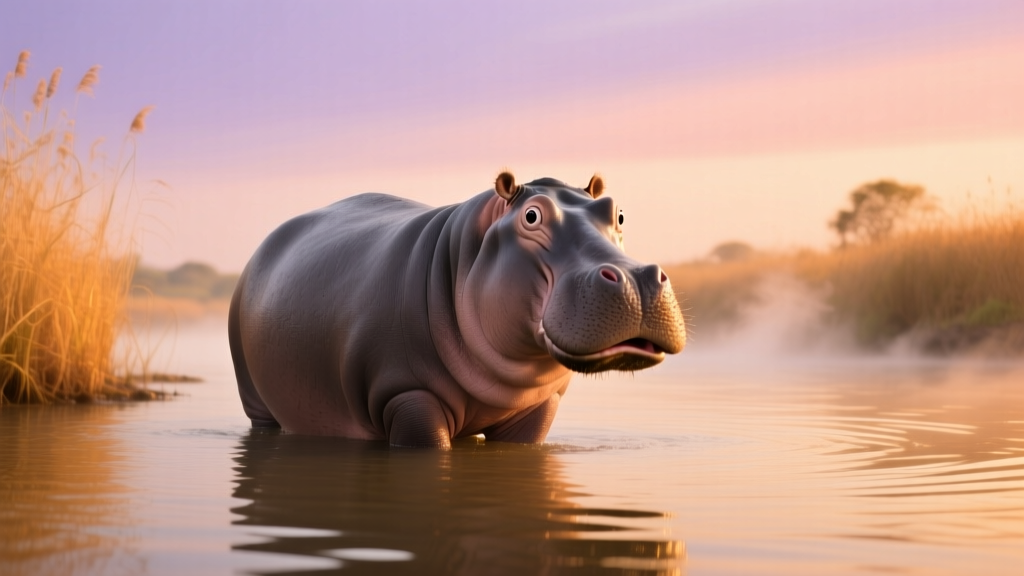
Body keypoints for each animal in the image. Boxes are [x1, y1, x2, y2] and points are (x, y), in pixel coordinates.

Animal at [229, 173, 685, 448]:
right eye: (531, 216)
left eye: (618, 212)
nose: (637, 279)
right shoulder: (407, 395)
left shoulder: (540, 406)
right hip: (256, 402)